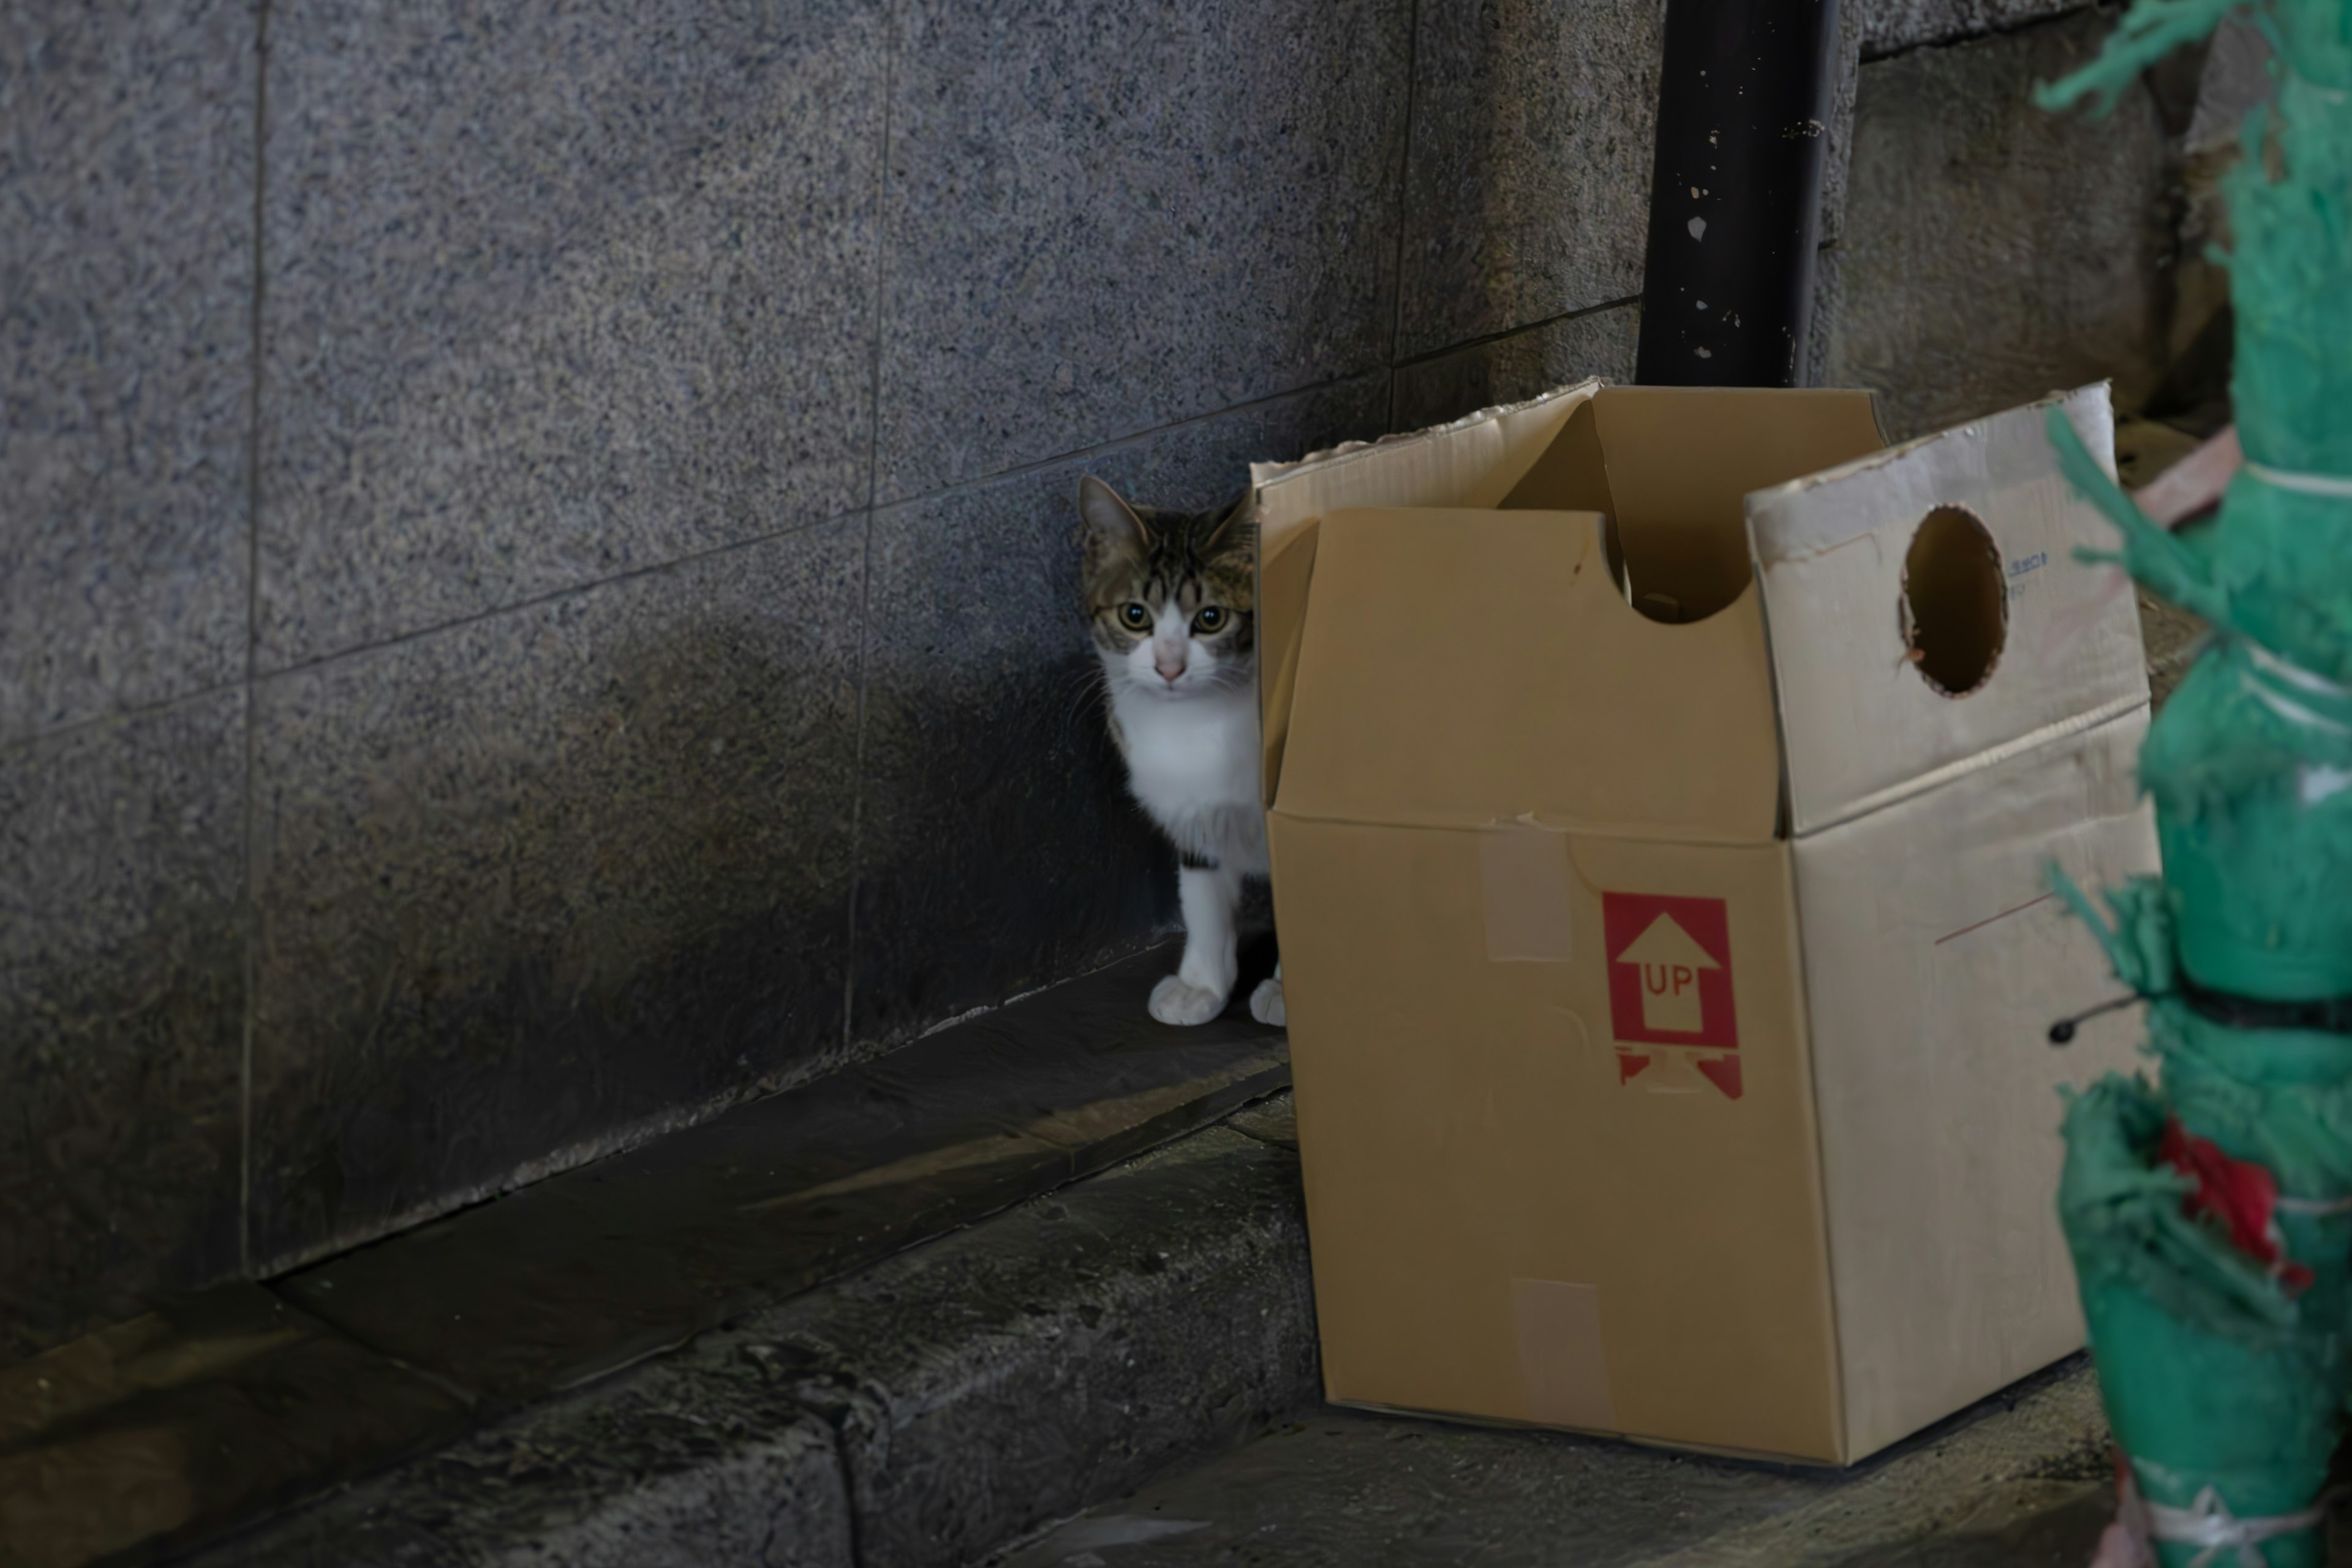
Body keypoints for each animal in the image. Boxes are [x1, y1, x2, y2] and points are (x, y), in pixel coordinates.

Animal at [1077, 472, 1289, 1034]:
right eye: (1135, 615)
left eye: (1211, 618)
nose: (1169, 667)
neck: (1195, 725)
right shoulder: (1190, 808)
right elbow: (1202, 897)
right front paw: (1202, 986)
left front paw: (1291, 992)